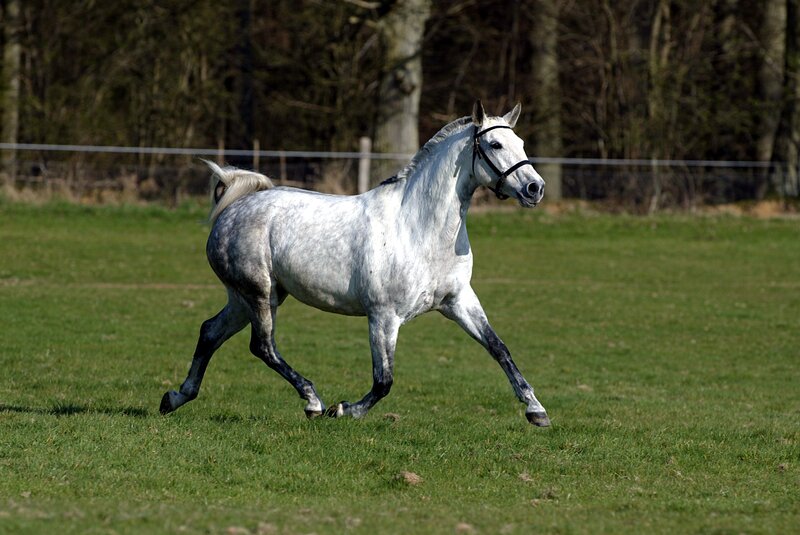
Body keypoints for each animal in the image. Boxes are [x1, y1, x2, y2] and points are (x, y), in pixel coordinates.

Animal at [160, 100, 550, 426]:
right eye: (495, 145)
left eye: (521, 143)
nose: (535, 189)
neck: (418, 229)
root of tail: (233, 208)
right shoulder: (383, 316)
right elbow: (384, 381)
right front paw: (343, 409)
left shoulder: (458, 302)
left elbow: (499, 349)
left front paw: (537, 411)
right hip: (258, 294)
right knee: (263, 347)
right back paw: (313, 401)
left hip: (249, 298)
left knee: (210, 331)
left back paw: (175, 397)